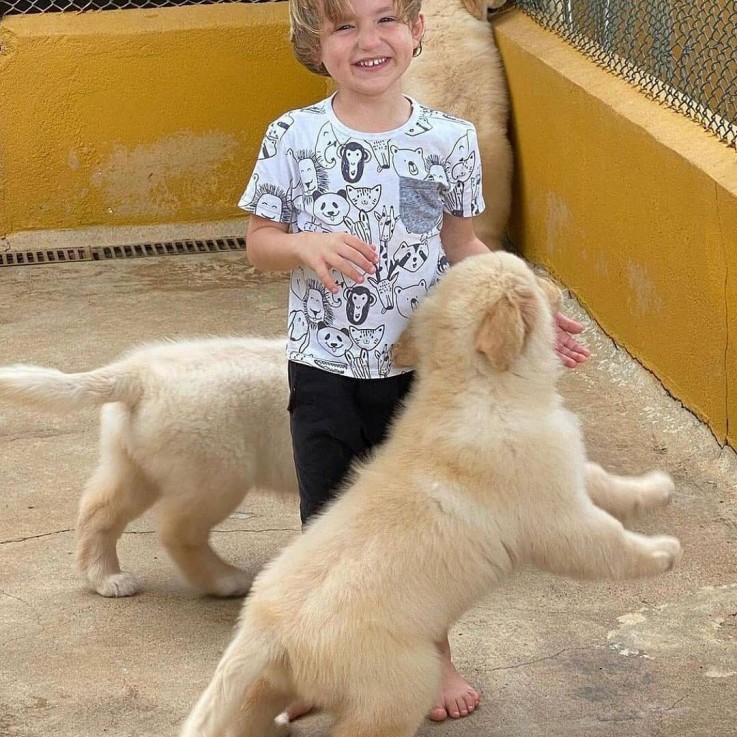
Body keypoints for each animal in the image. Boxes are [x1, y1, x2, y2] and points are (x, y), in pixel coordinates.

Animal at [181, 252, 680, 736]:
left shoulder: (561, 469)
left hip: (268, 683)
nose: (556, 286)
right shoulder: (556, 519)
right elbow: (608, 543)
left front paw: (654, 488)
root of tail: (263, 627)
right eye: (526, 275)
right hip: (400, 683)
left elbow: (604, 481)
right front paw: (662, 553)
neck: (479, 388)